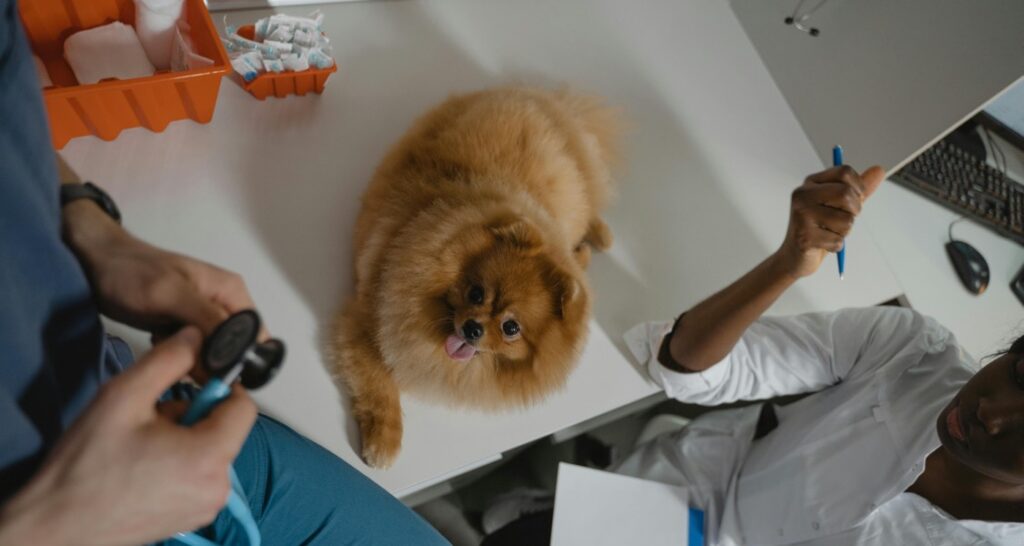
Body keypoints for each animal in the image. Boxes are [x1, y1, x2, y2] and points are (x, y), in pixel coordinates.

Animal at [329, 87, 614, 467]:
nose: (473, 328)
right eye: (476, 293)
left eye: (511, 328)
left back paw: (598, 241)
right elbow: (380, 385)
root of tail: (547, 102)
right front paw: (384, 442)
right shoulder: (367, 319)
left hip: (574, 199)